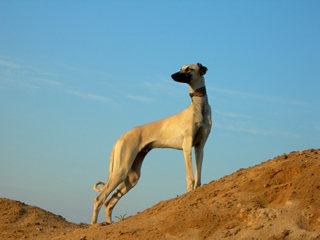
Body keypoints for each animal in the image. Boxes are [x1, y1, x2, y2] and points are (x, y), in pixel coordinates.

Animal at [91, 62, 211, 224]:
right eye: (181, 68)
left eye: (189, 69)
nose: (172, 75)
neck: (199, 107)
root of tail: (120, 138)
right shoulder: (187, 147)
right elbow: (190, 177)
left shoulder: (199, 146)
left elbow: (198, 177)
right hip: (121, 169)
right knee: (99, 199)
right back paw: (93, 225)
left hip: (132, 177)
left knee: (109, 202)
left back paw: (108, 224)